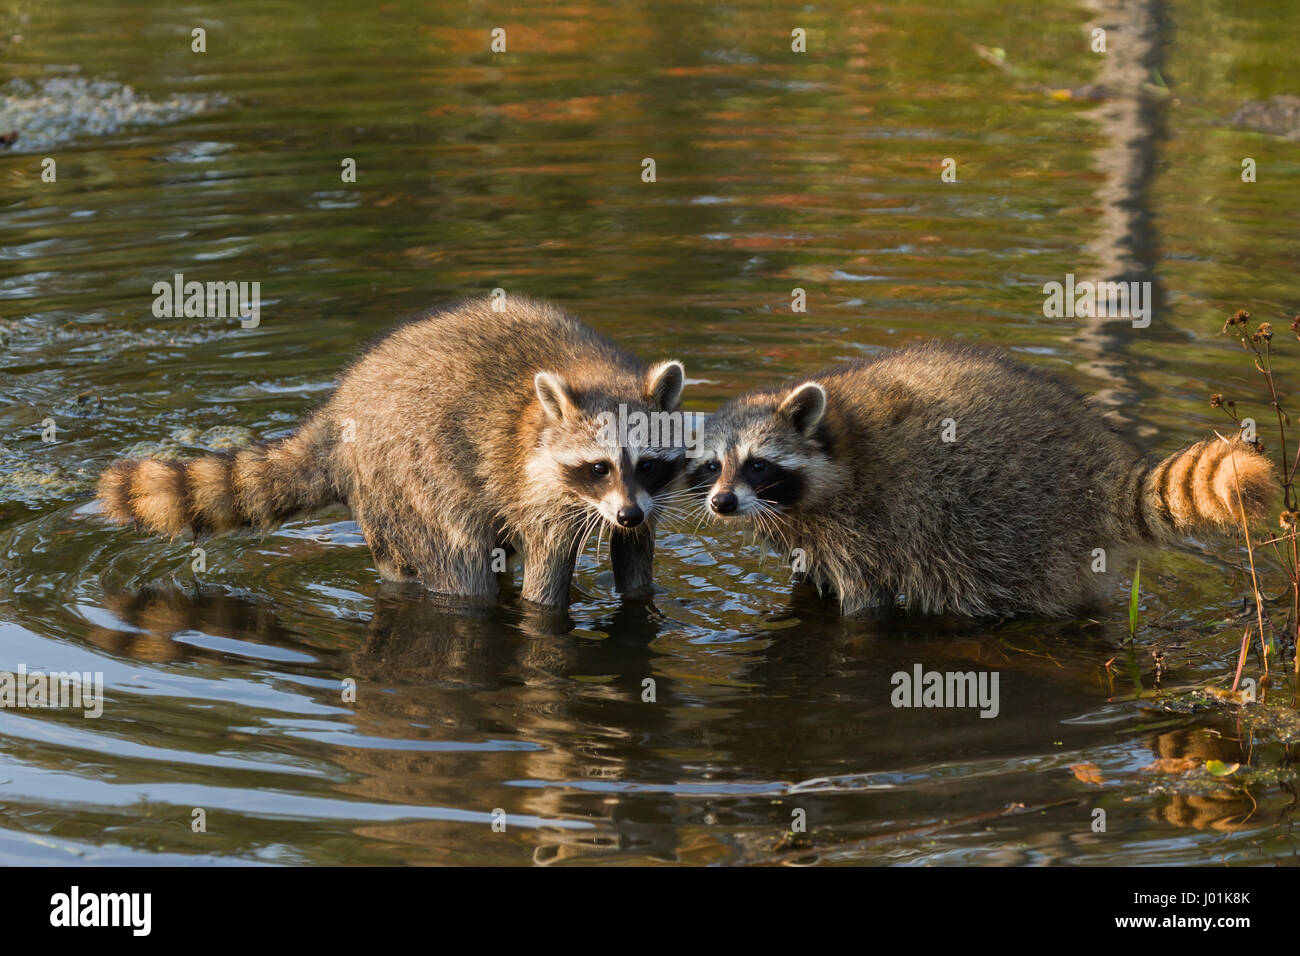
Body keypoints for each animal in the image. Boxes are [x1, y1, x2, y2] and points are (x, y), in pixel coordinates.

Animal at [696, 343, 1274, 621]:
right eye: (712, 466)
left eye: (758, 465)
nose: (721, 503)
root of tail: (1100, 463)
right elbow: (809, 573)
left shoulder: (866, 524)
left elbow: (866, 600)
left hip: (1007, 520)